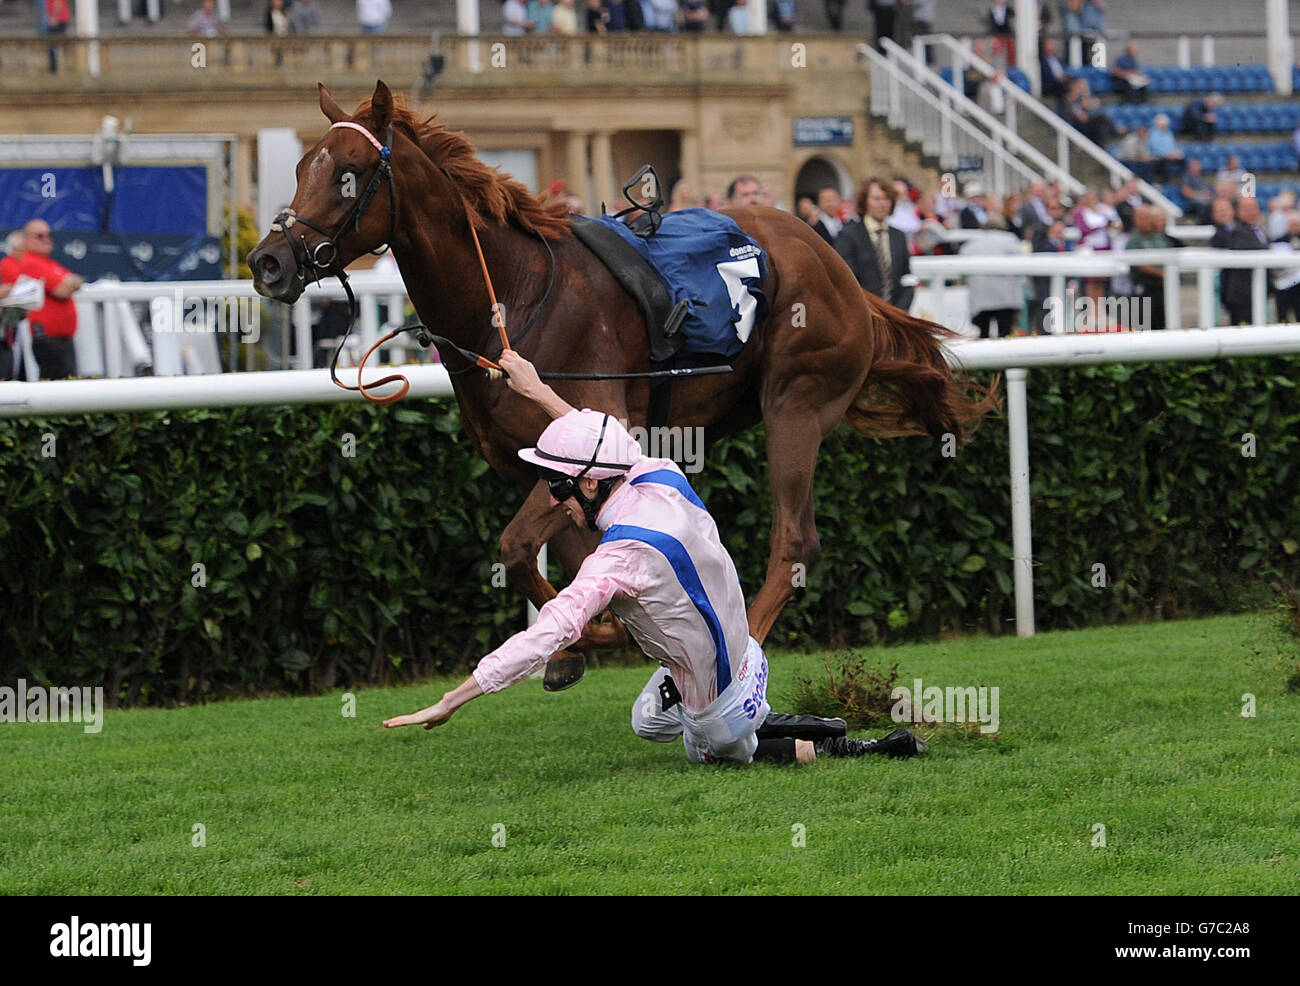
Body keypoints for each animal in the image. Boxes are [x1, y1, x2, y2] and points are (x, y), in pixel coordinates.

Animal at [248, 82, 987, 686]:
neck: (510, 299)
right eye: (300, 168)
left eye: (347, 176)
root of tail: (841, 270)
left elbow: (518, 547)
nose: (268, 262)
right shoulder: (535, 467)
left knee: (795, 543)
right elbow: (570, 556)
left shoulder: (604, 437)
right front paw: (582, 640)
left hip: (796, 405)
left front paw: (593, 639)